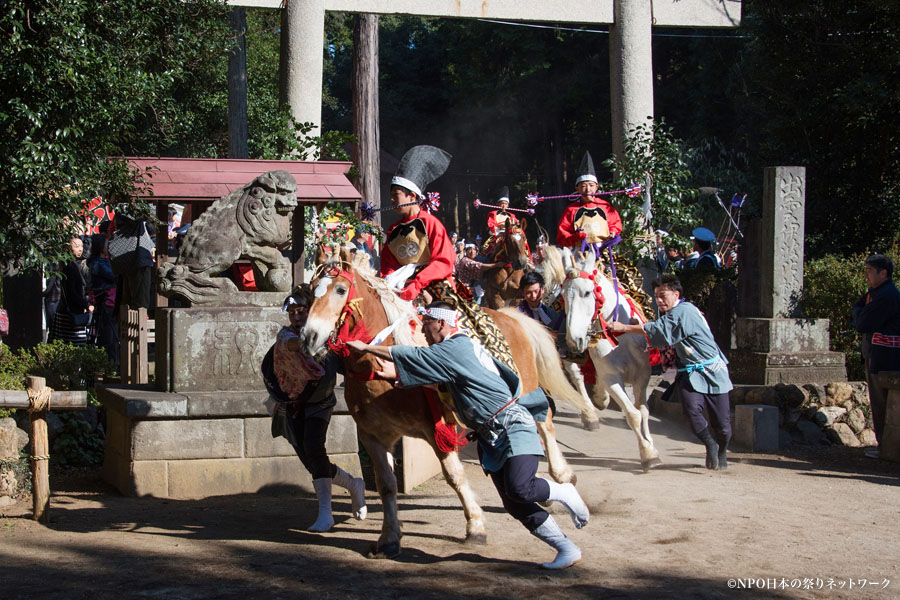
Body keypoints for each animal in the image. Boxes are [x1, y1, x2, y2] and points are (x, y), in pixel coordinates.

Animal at [540, 246, 660, 472]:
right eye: (565, 297)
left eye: (587, 292)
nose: (574, 339)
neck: (620, 337)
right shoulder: (611, 376)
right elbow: (633, 414)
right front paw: (648, 454)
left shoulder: (642, 375)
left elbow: (644, 410)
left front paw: (651, 446)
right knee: (577, 376)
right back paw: (591, 414)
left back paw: (600, 397)